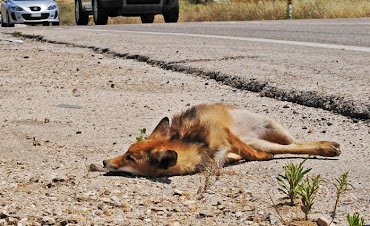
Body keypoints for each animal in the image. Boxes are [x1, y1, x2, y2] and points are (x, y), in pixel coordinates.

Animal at [102, 103, 340, 177]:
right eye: (126, 152)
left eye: (130, 158)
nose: (104, 162)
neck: (197, 145)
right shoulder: (225, 152)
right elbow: (241, 155)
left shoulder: (224, 133)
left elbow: (251, 155)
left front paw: (260, 157)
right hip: (263, 139)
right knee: (291, 147)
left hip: (273, 126)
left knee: (295, 144)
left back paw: (328, 147)